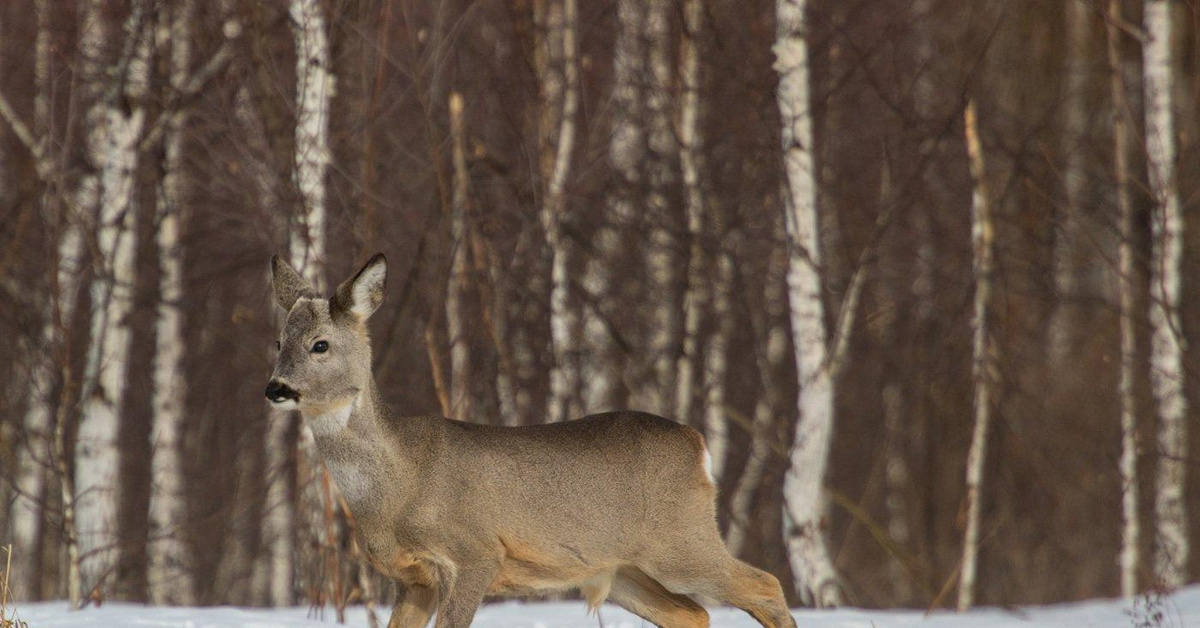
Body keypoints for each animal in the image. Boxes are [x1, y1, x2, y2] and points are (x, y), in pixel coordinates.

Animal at [267, 254, 801, 628]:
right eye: (278, 341)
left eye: (319, 344)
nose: (276, 388)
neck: (397, 483)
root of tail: (697, 443)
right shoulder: (411, 578)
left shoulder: (476, 553)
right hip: (619, 570)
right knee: (693, 613)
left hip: (681, 543)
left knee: (767, 584)